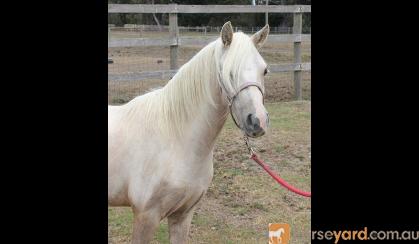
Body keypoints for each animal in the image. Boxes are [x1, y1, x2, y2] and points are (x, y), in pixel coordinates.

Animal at [110, 21, 270, 243]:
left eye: (264, 71)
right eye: (229, 72)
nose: (257, 121)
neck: (175, 139)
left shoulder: (183, 215)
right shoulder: (146, 216)